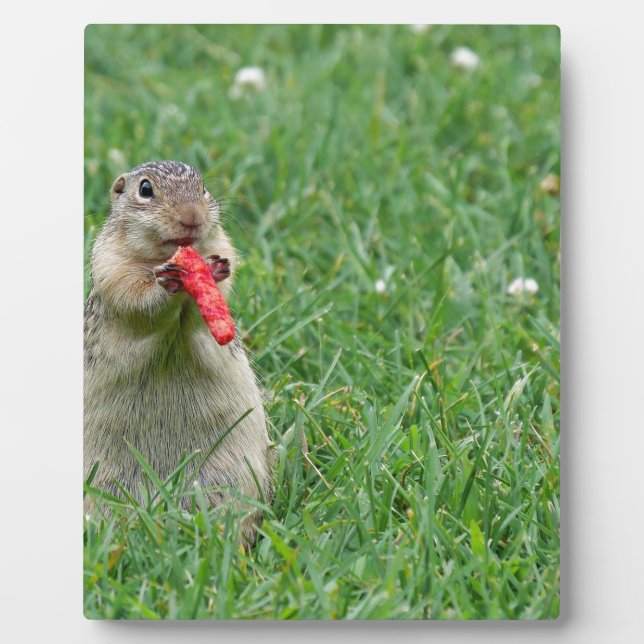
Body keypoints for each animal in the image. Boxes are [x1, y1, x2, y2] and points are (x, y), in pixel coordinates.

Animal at [84, 160, 274, 541]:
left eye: (202, 187)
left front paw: (214, 270)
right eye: (145, 189)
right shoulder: (112, 269)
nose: (192, 216)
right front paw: (166, 284)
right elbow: (137, 301)